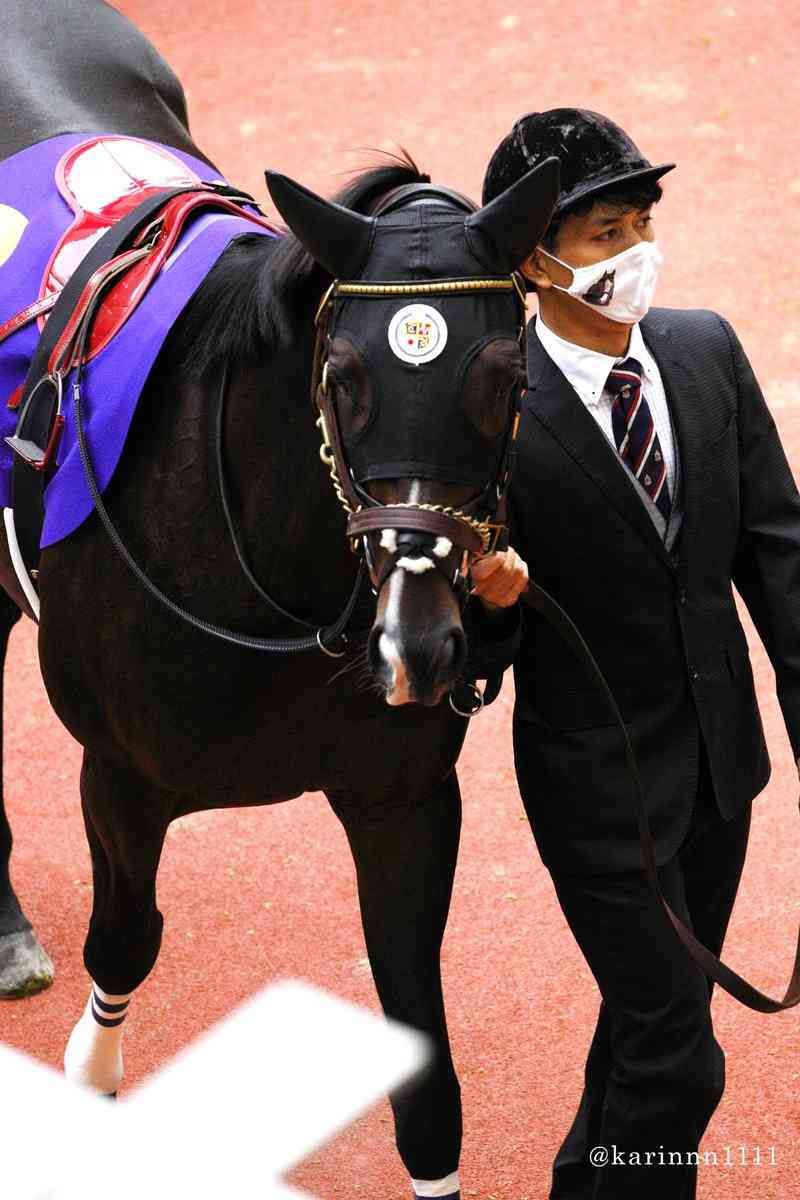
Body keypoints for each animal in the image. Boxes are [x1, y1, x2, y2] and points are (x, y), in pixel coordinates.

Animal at [0, 1, 560, 1190]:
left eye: (505, 376)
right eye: (342, 375)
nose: (420, 643)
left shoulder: (402, 799)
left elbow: (423, 1070)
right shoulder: (119, 775)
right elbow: (126, 942)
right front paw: (89, 1069)